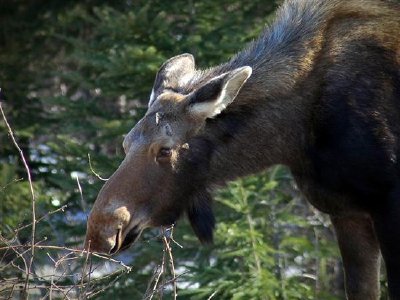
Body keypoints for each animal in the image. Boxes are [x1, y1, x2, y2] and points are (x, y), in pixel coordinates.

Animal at [86, 0, 400, 298]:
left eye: (165, 149)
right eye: (125, 143)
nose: (100, 230)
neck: (297, 137)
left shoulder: (387, 205)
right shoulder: (345, 211)